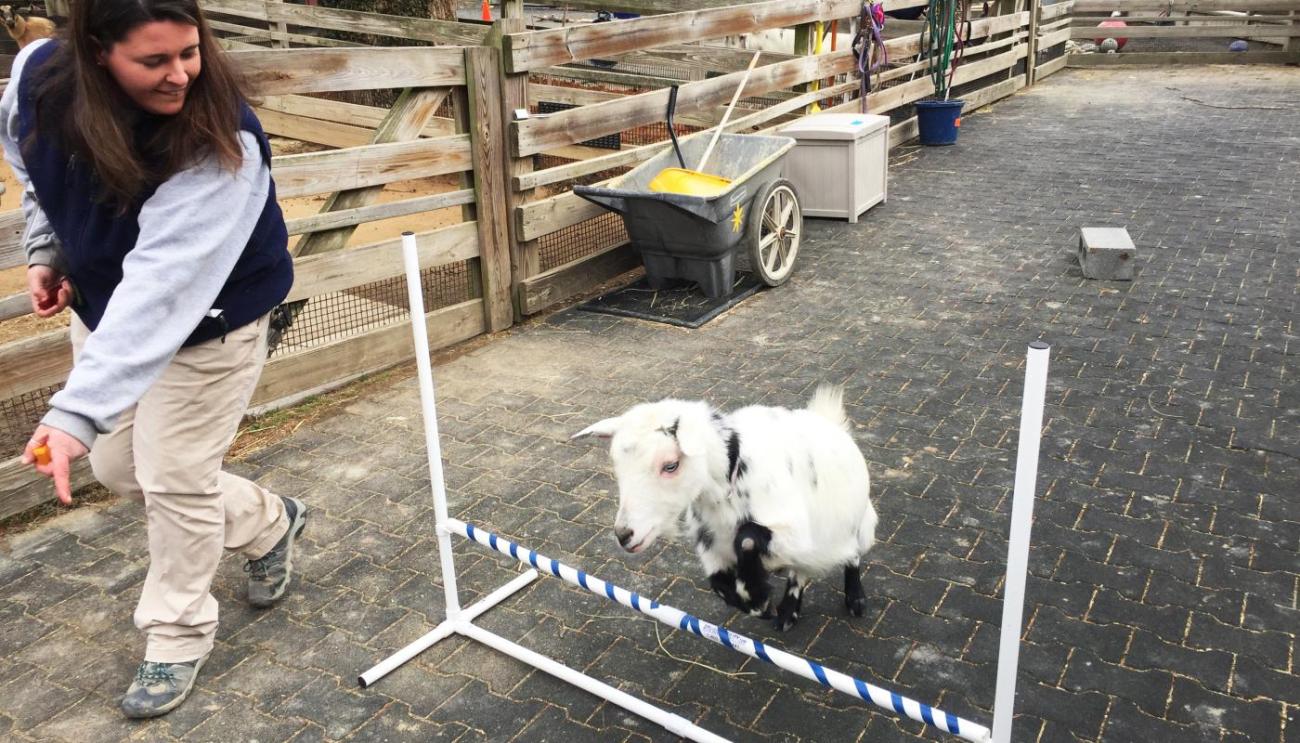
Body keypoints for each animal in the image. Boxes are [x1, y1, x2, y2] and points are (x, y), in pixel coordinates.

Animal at [574, 387, 878, 628]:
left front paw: (756, 597)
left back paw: (855, 600)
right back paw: (787, 614)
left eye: (670, 465)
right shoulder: (710, 542)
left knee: (850, 556)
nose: (624, 534)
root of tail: (831, 422)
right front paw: (758, 603)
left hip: (855, 526)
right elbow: (717, 581)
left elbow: (746, 538)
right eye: (616, 465)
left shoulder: (794, 532)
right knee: (800, 572)